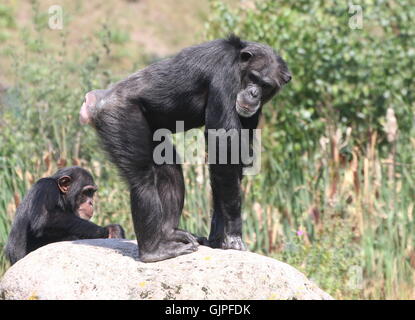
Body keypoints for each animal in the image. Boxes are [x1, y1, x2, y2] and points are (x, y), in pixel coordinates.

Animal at [79, 35, 292, 262]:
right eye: (253, 77)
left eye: (266, 85)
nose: (253, 93)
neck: (240, 64)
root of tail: (93, 101)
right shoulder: (224, 75)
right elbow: (223, 148)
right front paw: (234, 234)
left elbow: (234, 159)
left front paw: (219, 238)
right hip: (118, 115)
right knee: (142, 179)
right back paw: (153, 251)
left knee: (169, 167)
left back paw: (169, 233)